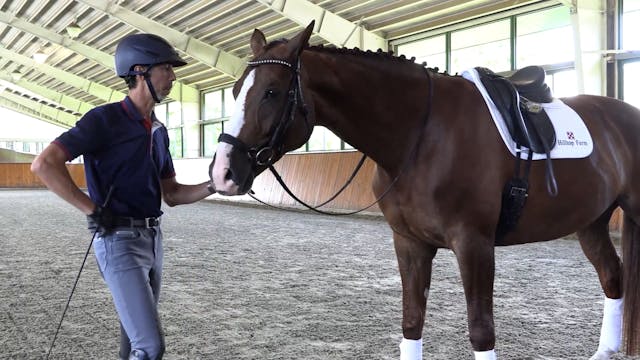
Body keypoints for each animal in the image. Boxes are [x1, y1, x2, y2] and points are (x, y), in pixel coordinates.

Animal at [209, 21, 640, 358]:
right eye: (234, 91)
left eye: (271, 92)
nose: (223, 171)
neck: (422, 134)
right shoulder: (409, 242)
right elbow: (412, 321)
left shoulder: (474, 244)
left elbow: (481, 331)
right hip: (591, 222)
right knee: (612, 276)